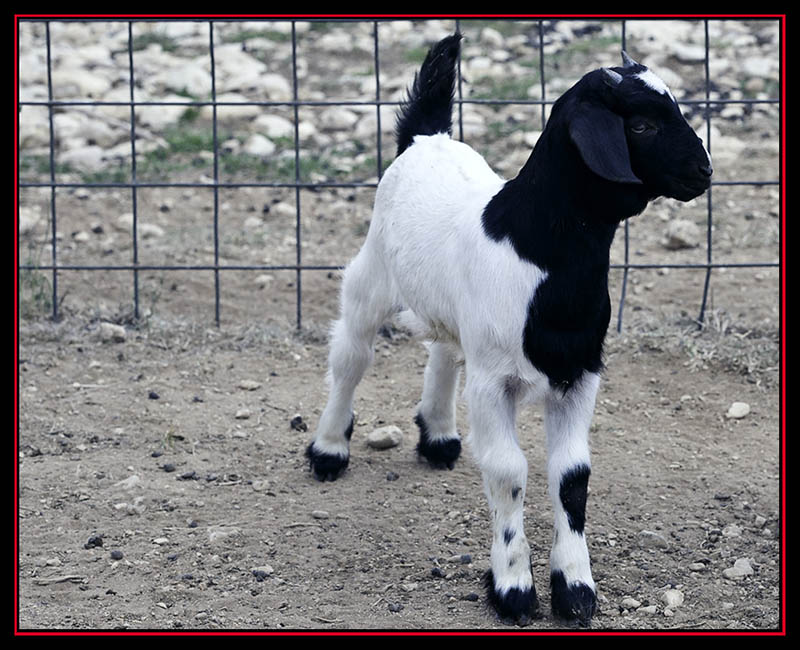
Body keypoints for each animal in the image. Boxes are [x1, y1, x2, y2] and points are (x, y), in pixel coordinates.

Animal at [304, 34, 712, 624]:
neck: (536, 249)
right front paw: (513, 588)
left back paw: (438, 435)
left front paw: (575, 589)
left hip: (456, 316)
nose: (704, 171)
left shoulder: (579, 374)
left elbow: (572, 476)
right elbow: (507, 471)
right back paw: (329, 448)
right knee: (351, 356)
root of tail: (426, 138)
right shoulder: (495, 382)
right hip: (372, 275)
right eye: (640, 126)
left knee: (443, 349)